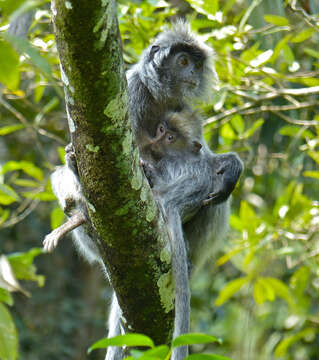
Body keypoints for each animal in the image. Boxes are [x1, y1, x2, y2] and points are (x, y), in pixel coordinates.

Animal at [45, 23, 244, 360]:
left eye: (197, 65)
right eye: (182, 62)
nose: (192, 74)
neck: (159, 98)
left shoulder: (182, 111)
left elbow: (204, 157)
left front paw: (230, 164)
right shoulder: (131, 91)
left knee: (216, 198)